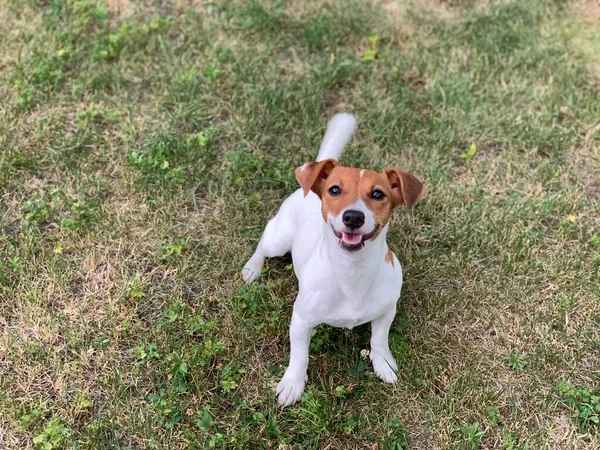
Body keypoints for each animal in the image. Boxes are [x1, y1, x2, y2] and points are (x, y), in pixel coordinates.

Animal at [241, 111, 424, 404]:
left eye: (378, 194)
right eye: (335, 190)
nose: (353, 217)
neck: (352, 272)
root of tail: (309, 188)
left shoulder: (387, 310)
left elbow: (379, 339)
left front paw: (383, 362)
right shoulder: (301, 320)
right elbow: (299, 356)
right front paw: (292, 383)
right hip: (277, 240)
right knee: (263, 242)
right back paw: (252, 268)